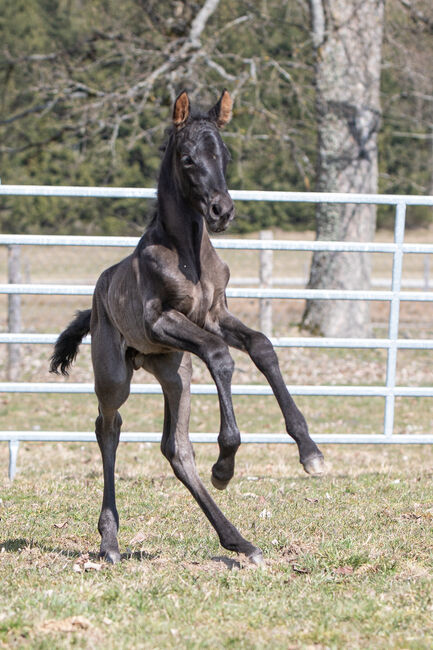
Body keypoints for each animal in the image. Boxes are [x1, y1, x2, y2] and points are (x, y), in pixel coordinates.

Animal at [50, 91, 322, 560]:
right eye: (187, 158)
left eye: (224, 154)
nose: (222, 210)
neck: (189, 254)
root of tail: (98, 294)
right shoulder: (162, 321)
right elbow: (220, 355)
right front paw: (226, 463)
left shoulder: (214, 315)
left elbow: (261, 346)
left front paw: (309, 451)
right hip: (116, 375)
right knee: (108, 428)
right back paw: (110, 540)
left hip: (175, 371)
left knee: (176, 449)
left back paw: (239, 541)